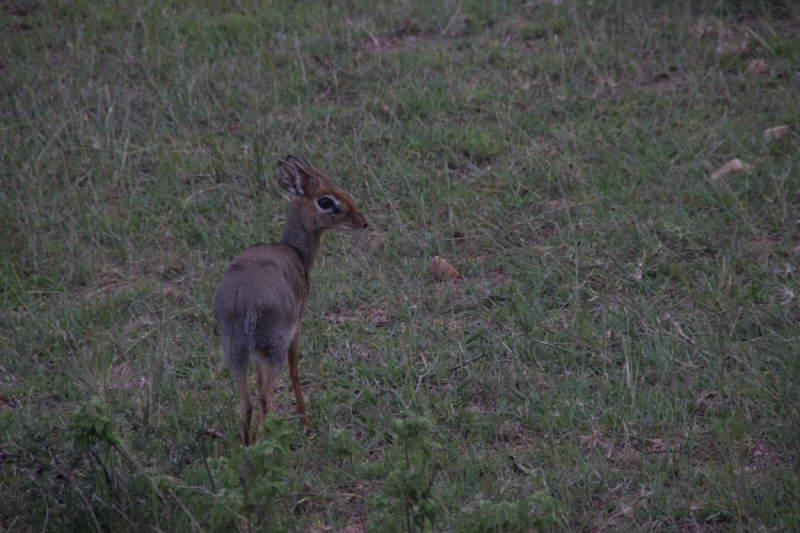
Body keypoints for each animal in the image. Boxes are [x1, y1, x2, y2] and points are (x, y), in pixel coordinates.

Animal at [212, 155, 368, 444]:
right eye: (326, 200)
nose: (362, 221)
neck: (295, 251)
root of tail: (248, 305)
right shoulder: (296, 327)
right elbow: (295, 371)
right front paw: (307, 421)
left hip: (236, 352)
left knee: (248, 400)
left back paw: (249, 444)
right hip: (274, 348)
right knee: (265, 394)